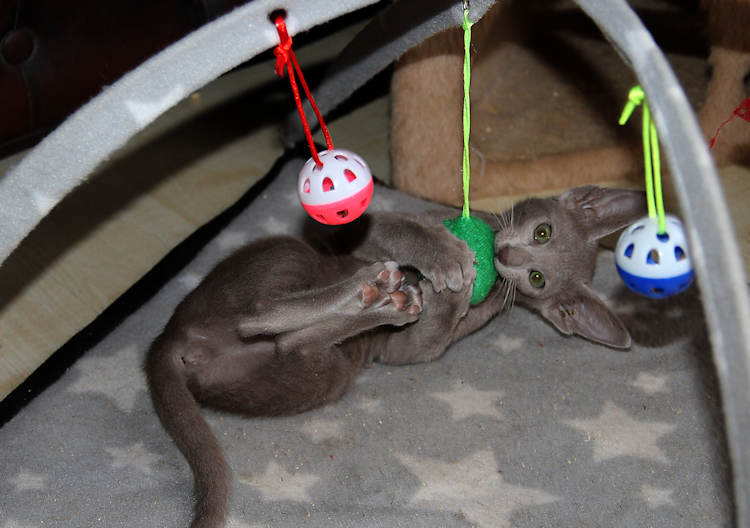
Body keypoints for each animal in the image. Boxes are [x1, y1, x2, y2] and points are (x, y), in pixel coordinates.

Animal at [145, 185, 645, 528]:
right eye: (543, 231)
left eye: (538, 278)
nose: (504, 254)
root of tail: (170, 340)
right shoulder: (370, 228)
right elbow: (395, 227)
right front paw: (447, 256)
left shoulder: (415, 347)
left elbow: (427, 339)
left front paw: (450, 287)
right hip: (292, 254)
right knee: (260, 315)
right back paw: (380, 289)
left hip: (323, 374)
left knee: (280, 335)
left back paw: (383, 298)